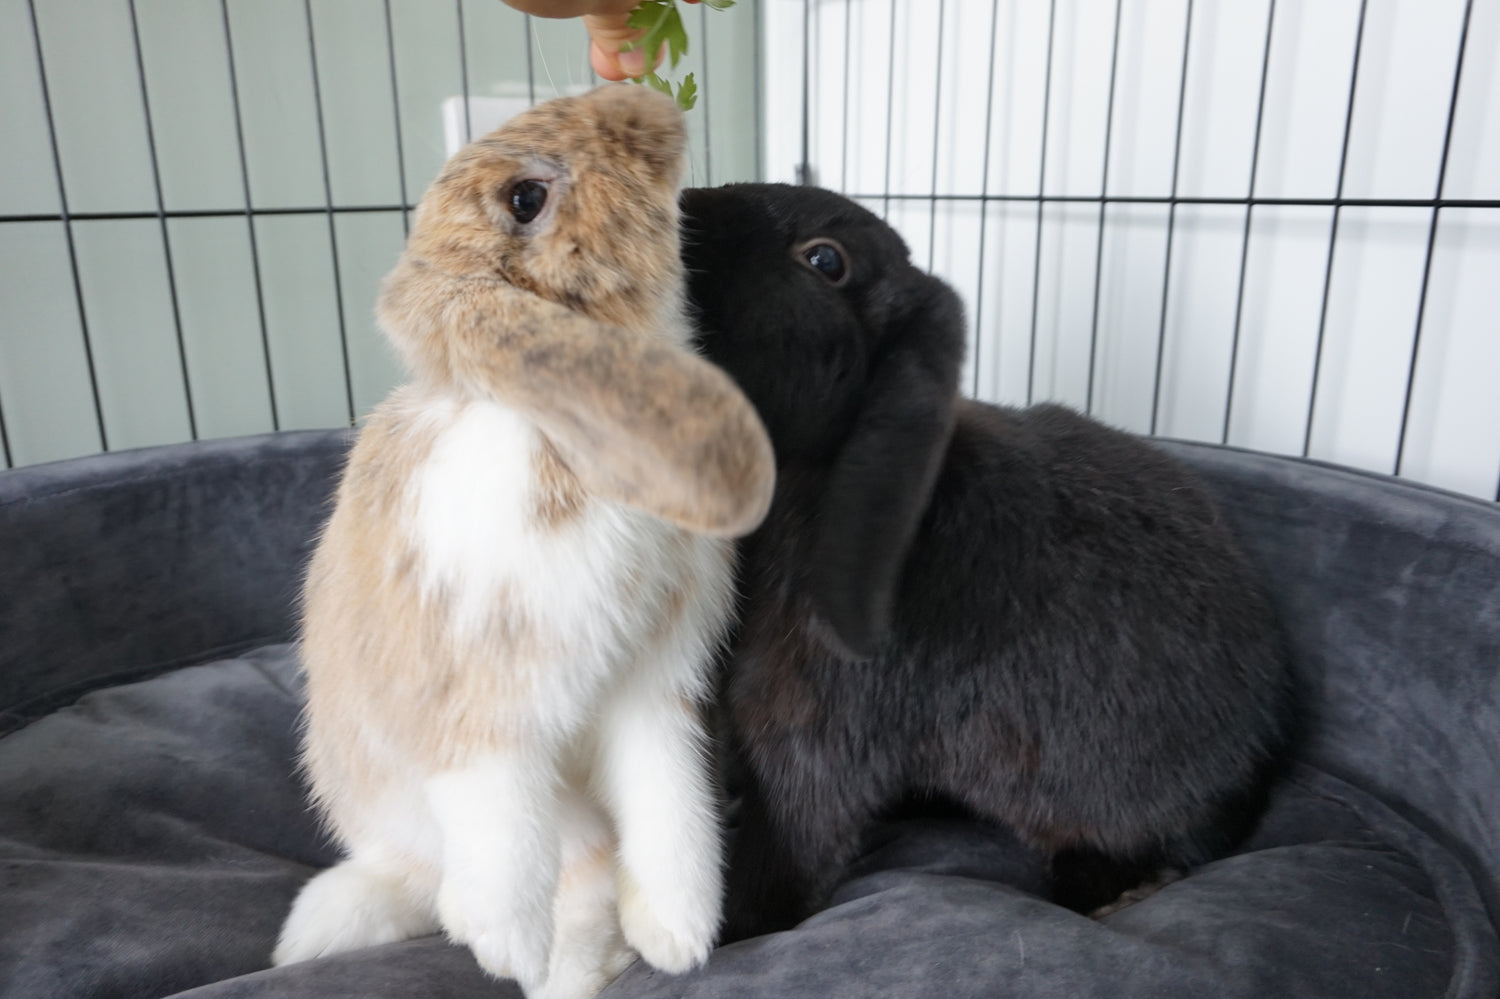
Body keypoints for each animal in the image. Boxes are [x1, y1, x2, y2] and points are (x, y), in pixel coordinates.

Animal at [271, 85, 775, 999]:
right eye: (524, 198)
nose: (649, 104)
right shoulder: (479, 697)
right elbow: (496, 815)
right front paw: (502, 940)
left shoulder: (655, 686)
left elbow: (669, 799)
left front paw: (681, 932)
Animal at [677, 182, 1295, 941]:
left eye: (825, 259)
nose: (681, 207)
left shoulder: (810, 726)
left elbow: (792, 835)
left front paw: (736, 932)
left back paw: (1118, 889)